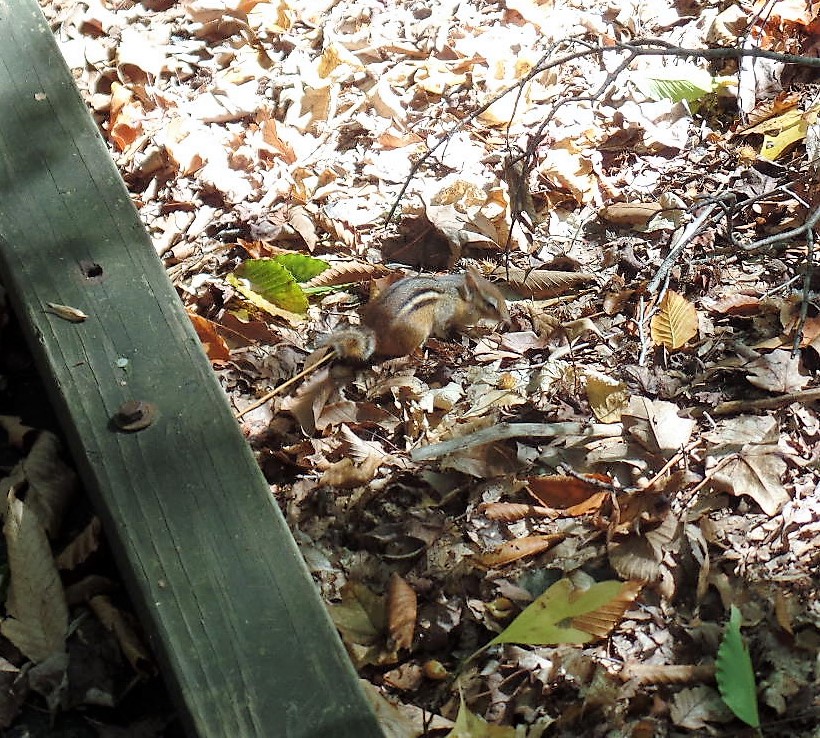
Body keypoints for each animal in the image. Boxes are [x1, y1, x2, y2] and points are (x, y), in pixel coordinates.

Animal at [325, 267, 510, 362]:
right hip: (418, 332)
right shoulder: (444, 315)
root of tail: (375, 336)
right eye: (490, 305)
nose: (507, 320)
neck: (459, 297)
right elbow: (443, 328)